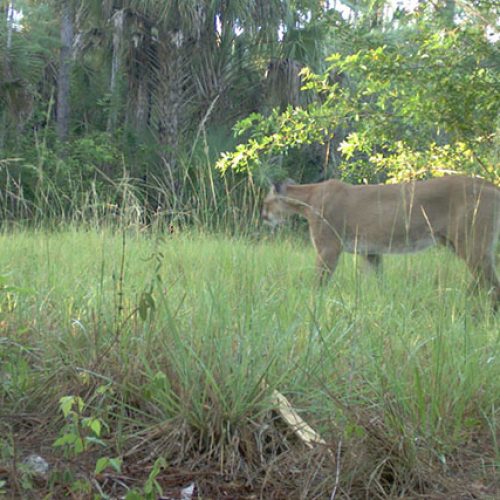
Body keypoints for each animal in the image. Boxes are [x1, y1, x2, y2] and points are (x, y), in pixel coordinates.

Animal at [262, 176, 500, 308]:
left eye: (265, 202)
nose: (263, 215)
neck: (307, 197)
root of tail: (491, 184)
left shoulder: (328, 248)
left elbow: (318, 282)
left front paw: (312, 303)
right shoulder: (371, 251)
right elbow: (379, 282)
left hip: (472, 244)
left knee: (492, 285)